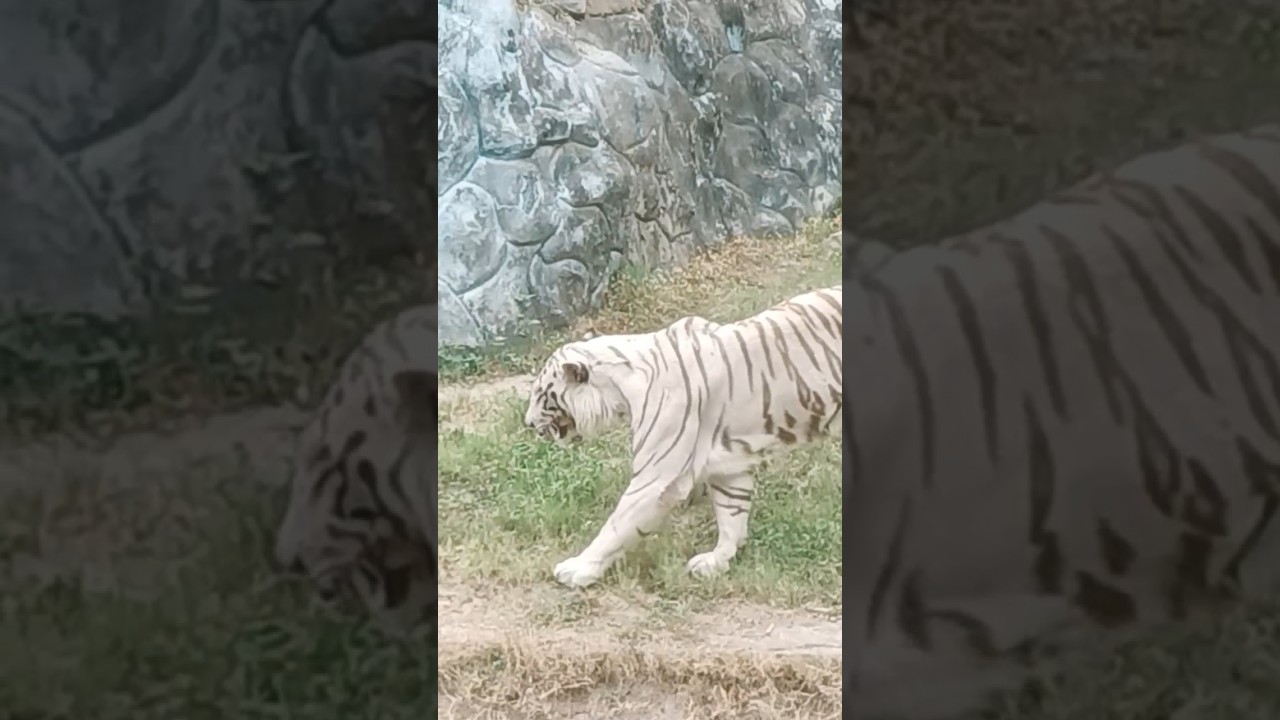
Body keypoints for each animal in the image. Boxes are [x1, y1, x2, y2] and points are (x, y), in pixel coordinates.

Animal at [523, 287, 843, 589]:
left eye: (540, 394)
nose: (527, 422)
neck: (622, 388)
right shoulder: (730, 462)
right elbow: (732, 512)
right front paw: (717, 560)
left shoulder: (657, 477)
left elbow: (617, 525)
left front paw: (577, 569)